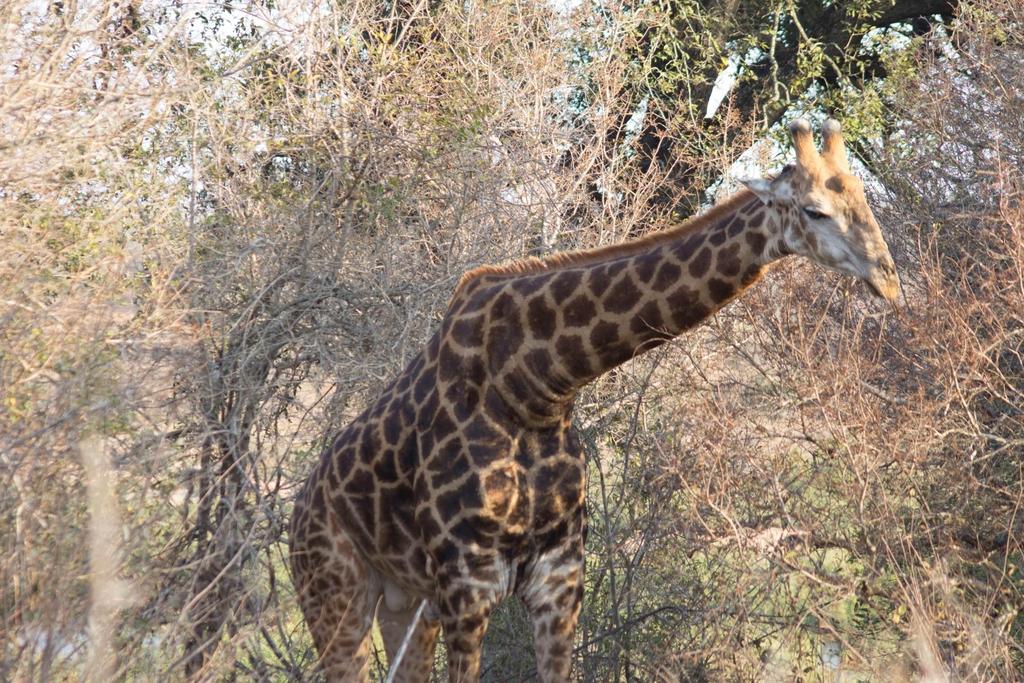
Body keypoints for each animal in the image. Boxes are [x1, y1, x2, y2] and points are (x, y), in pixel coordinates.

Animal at [286, 120, 897, 679]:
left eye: (864, 199)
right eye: (815, 211)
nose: (888, 278)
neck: (534, 389)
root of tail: (298, 513)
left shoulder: (558, 582)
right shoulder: (467, 586)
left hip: (405, 603)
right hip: (335, 599)